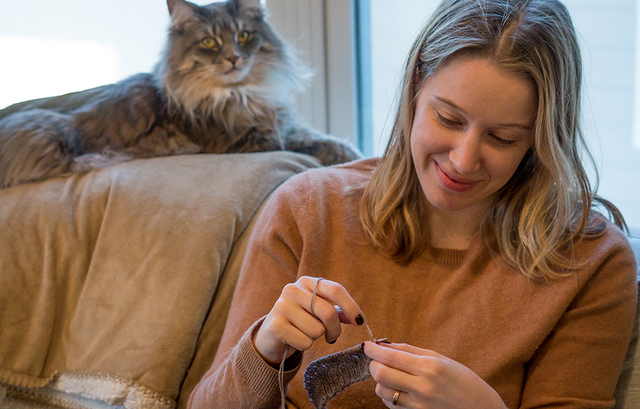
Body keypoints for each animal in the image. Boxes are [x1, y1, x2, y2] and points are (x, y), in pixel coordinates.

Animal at [0, 0, 362, 188]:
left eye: (244, 36)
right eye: (209, 42)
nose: (233, 58)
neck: (241, 94)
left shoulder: (278, 121)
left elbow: (315, 134)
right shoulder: (252, 139)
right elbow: (310, 142)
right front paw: (349, 153)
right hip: (46, 134)